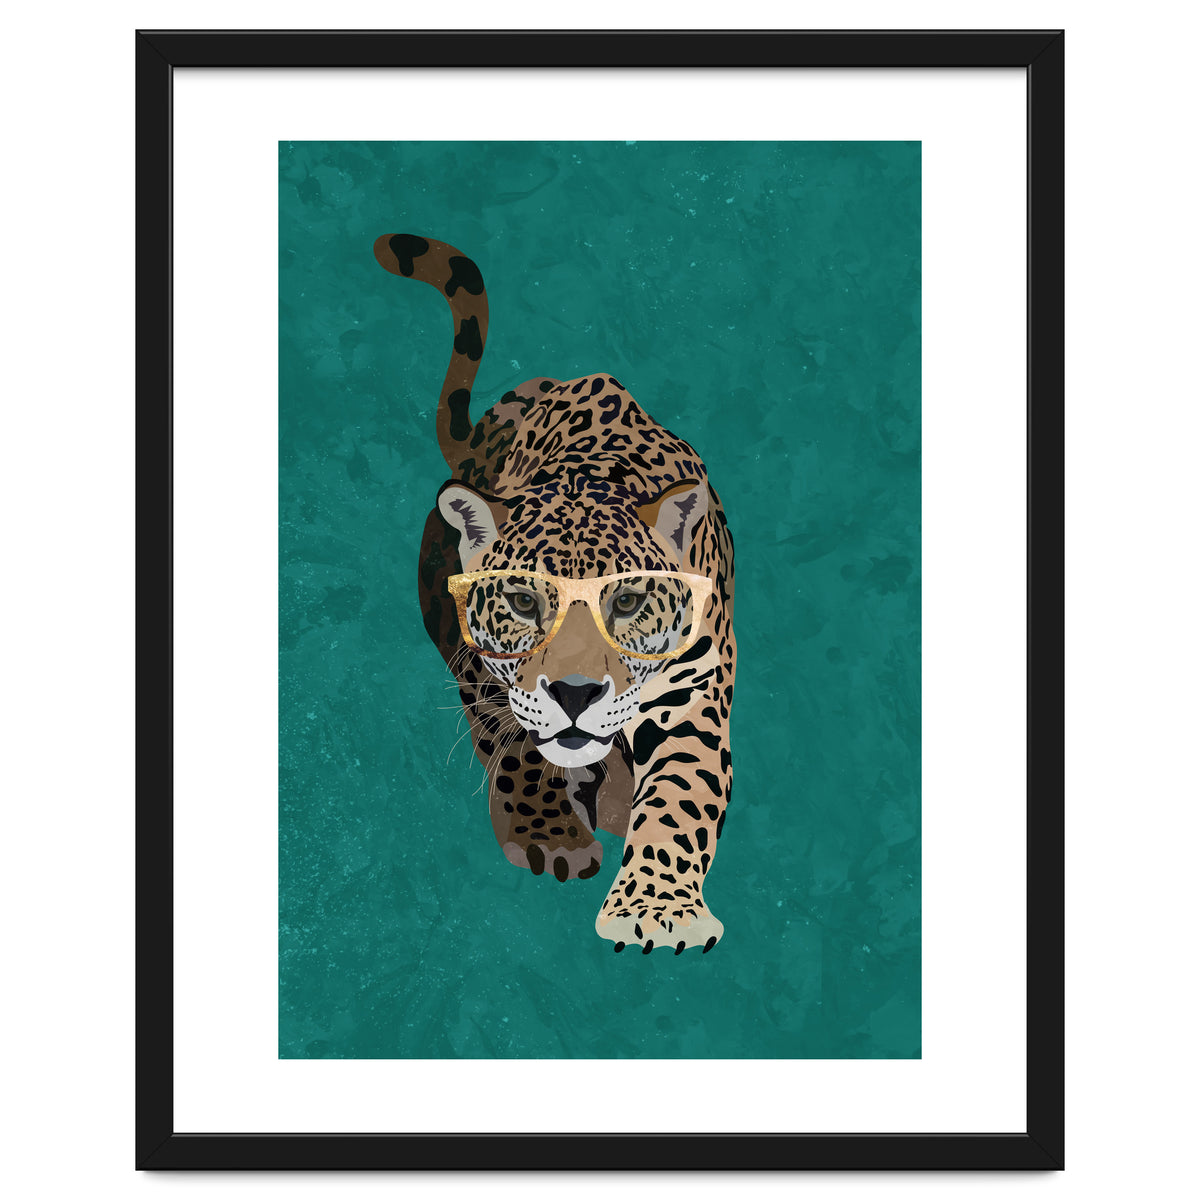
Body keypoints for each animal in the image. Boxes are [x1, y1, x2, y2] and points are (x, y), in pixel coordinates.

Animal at [374, 233, 736, 954]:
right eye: (522, 602)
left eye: (625, 602)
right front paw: (550, 835)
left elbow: (680, 795)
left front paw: (656, 910)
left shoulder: (692, 691)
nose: (575, 694)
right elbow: (518, 746)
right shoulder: (485, 671)